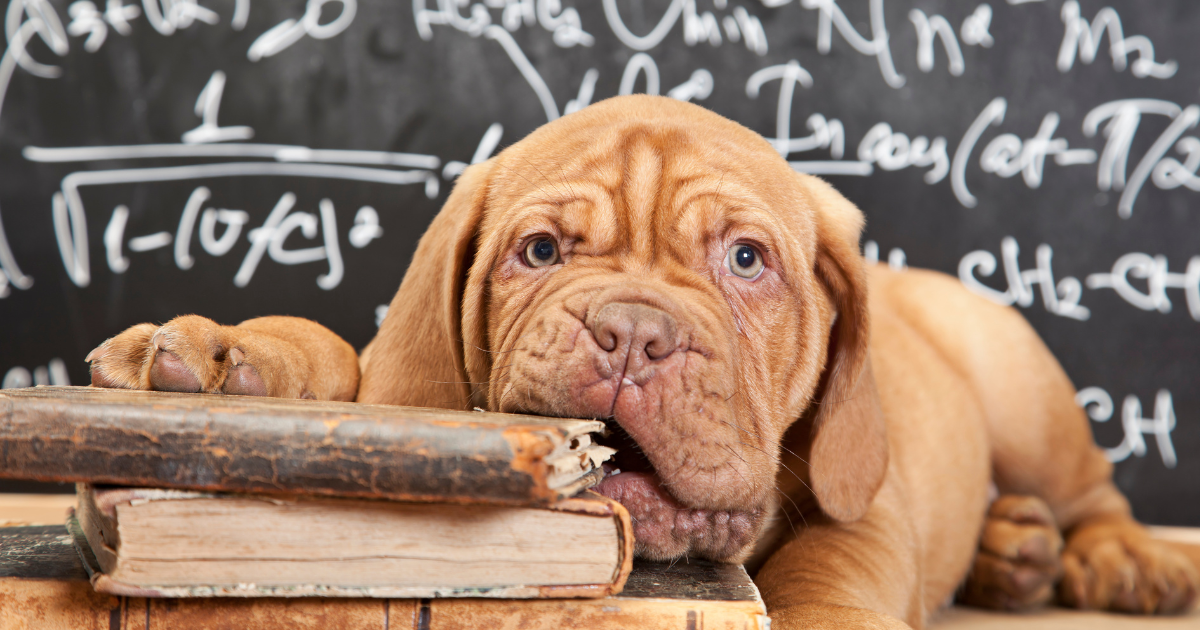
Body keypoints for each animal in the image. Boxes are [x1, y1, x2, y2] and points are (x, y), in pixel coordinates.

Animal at [87, 96, 1200, 624]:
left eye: (747, 260)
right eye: (540, 253)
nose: (631, 334)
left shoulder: (864, 494)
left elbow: (835, 559)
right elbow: (334, 356)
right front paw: (220, 357)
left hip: (1020, 382)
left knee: (1092, 491)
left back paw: (1113, 558)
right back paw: (1016, 553)